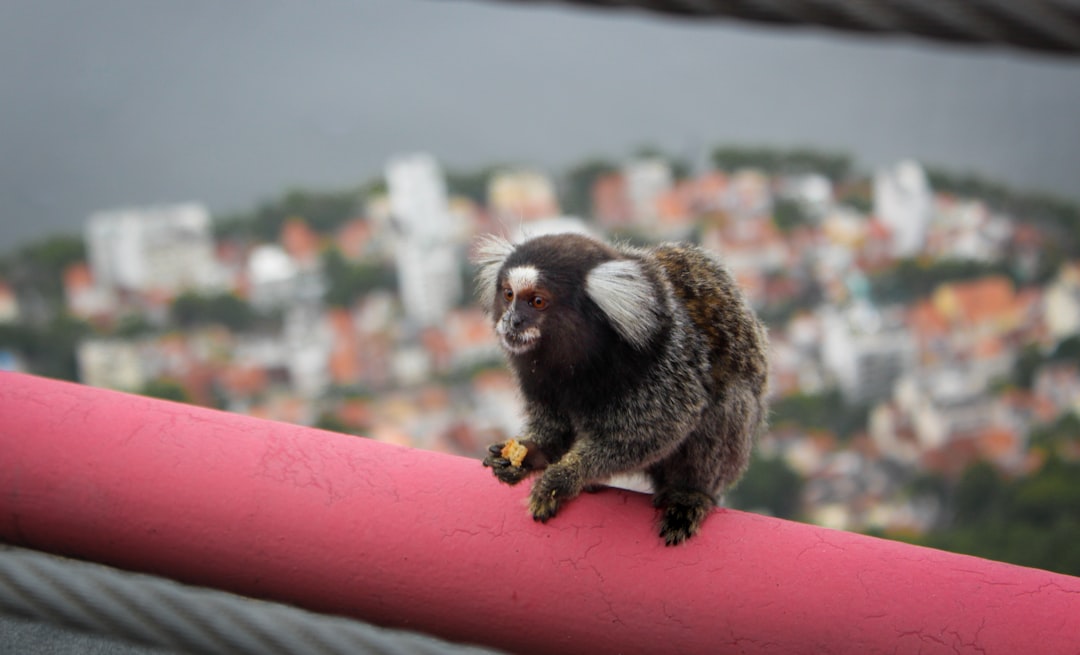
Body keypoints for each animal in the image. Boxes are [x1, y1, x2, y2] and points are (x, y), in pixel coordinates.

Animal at [473, 233, 768, 546]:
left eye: (537, 301)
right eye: (508, 295)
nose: (512, 321)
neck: (577, 359)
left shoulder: (665, 364)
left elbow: (656, 432)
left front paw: (565, 477)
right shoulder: (537, 377)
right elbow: (553, 426)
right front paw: (529, 454)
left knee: (727, 406)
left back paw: (692, 493)